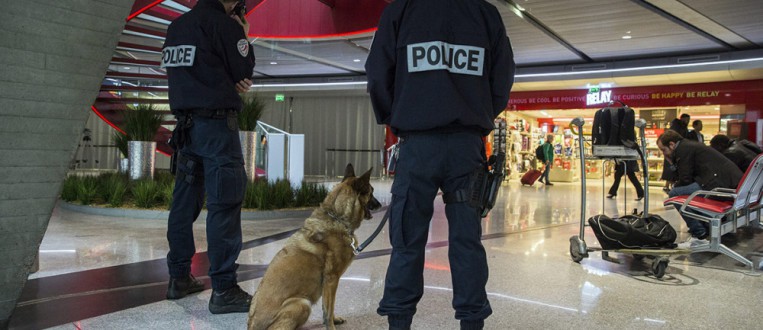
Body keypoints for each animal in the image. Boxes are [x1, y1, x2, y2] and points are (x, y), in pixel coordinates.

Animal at [249, 164, 382, 328]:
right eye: (371, 192)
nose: (380, 205)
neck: (337, 217)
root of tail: (251, 325)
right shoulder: (331, 279)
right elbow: (328, 310)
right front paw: (331, 326)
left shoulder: (329, 283)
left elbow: (329, 307)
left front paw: (334, 320)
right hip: (302, 304)